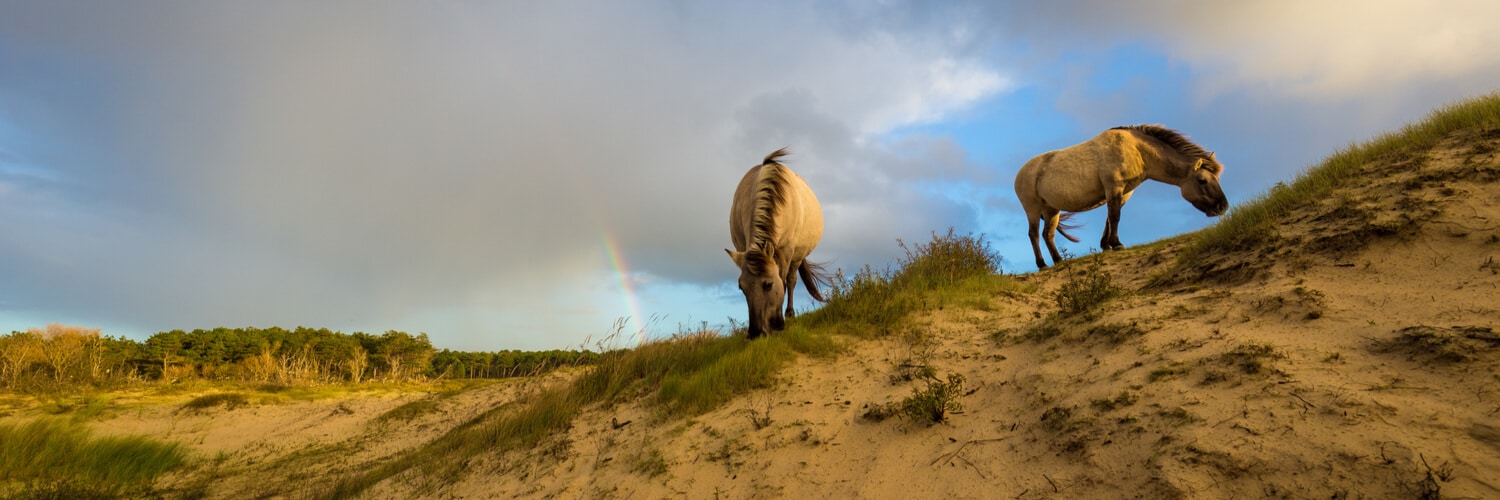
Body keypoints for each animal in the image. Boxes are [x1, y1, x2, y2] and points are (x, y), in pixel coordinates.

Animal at [723, 146, 828, 336]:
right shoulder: (742, 248)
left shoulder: (786, 252)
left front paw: (780, 323)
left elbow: (784, 282)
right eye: (742, 287)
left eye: (769, 285)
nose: (756, 333)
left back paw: (790, 313)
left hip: (797, 256)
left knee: (791, 280)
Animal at [1014, 124, 1224, 268]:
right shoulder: (1114, 187)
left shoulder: (1123, 193)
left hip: (1052, 209)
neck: (1137, 150)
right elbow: (1115, 216)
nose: (1222, 207)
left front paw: (1106, 245)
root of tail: (1020, 174)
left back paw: (1058, 261)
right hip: (1032, 209)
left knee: (1047, 234)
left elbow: (1110, 218)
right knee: (1034, 234)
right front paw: (1117, 244)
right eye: (1203, 180)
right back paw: (1042, 264)